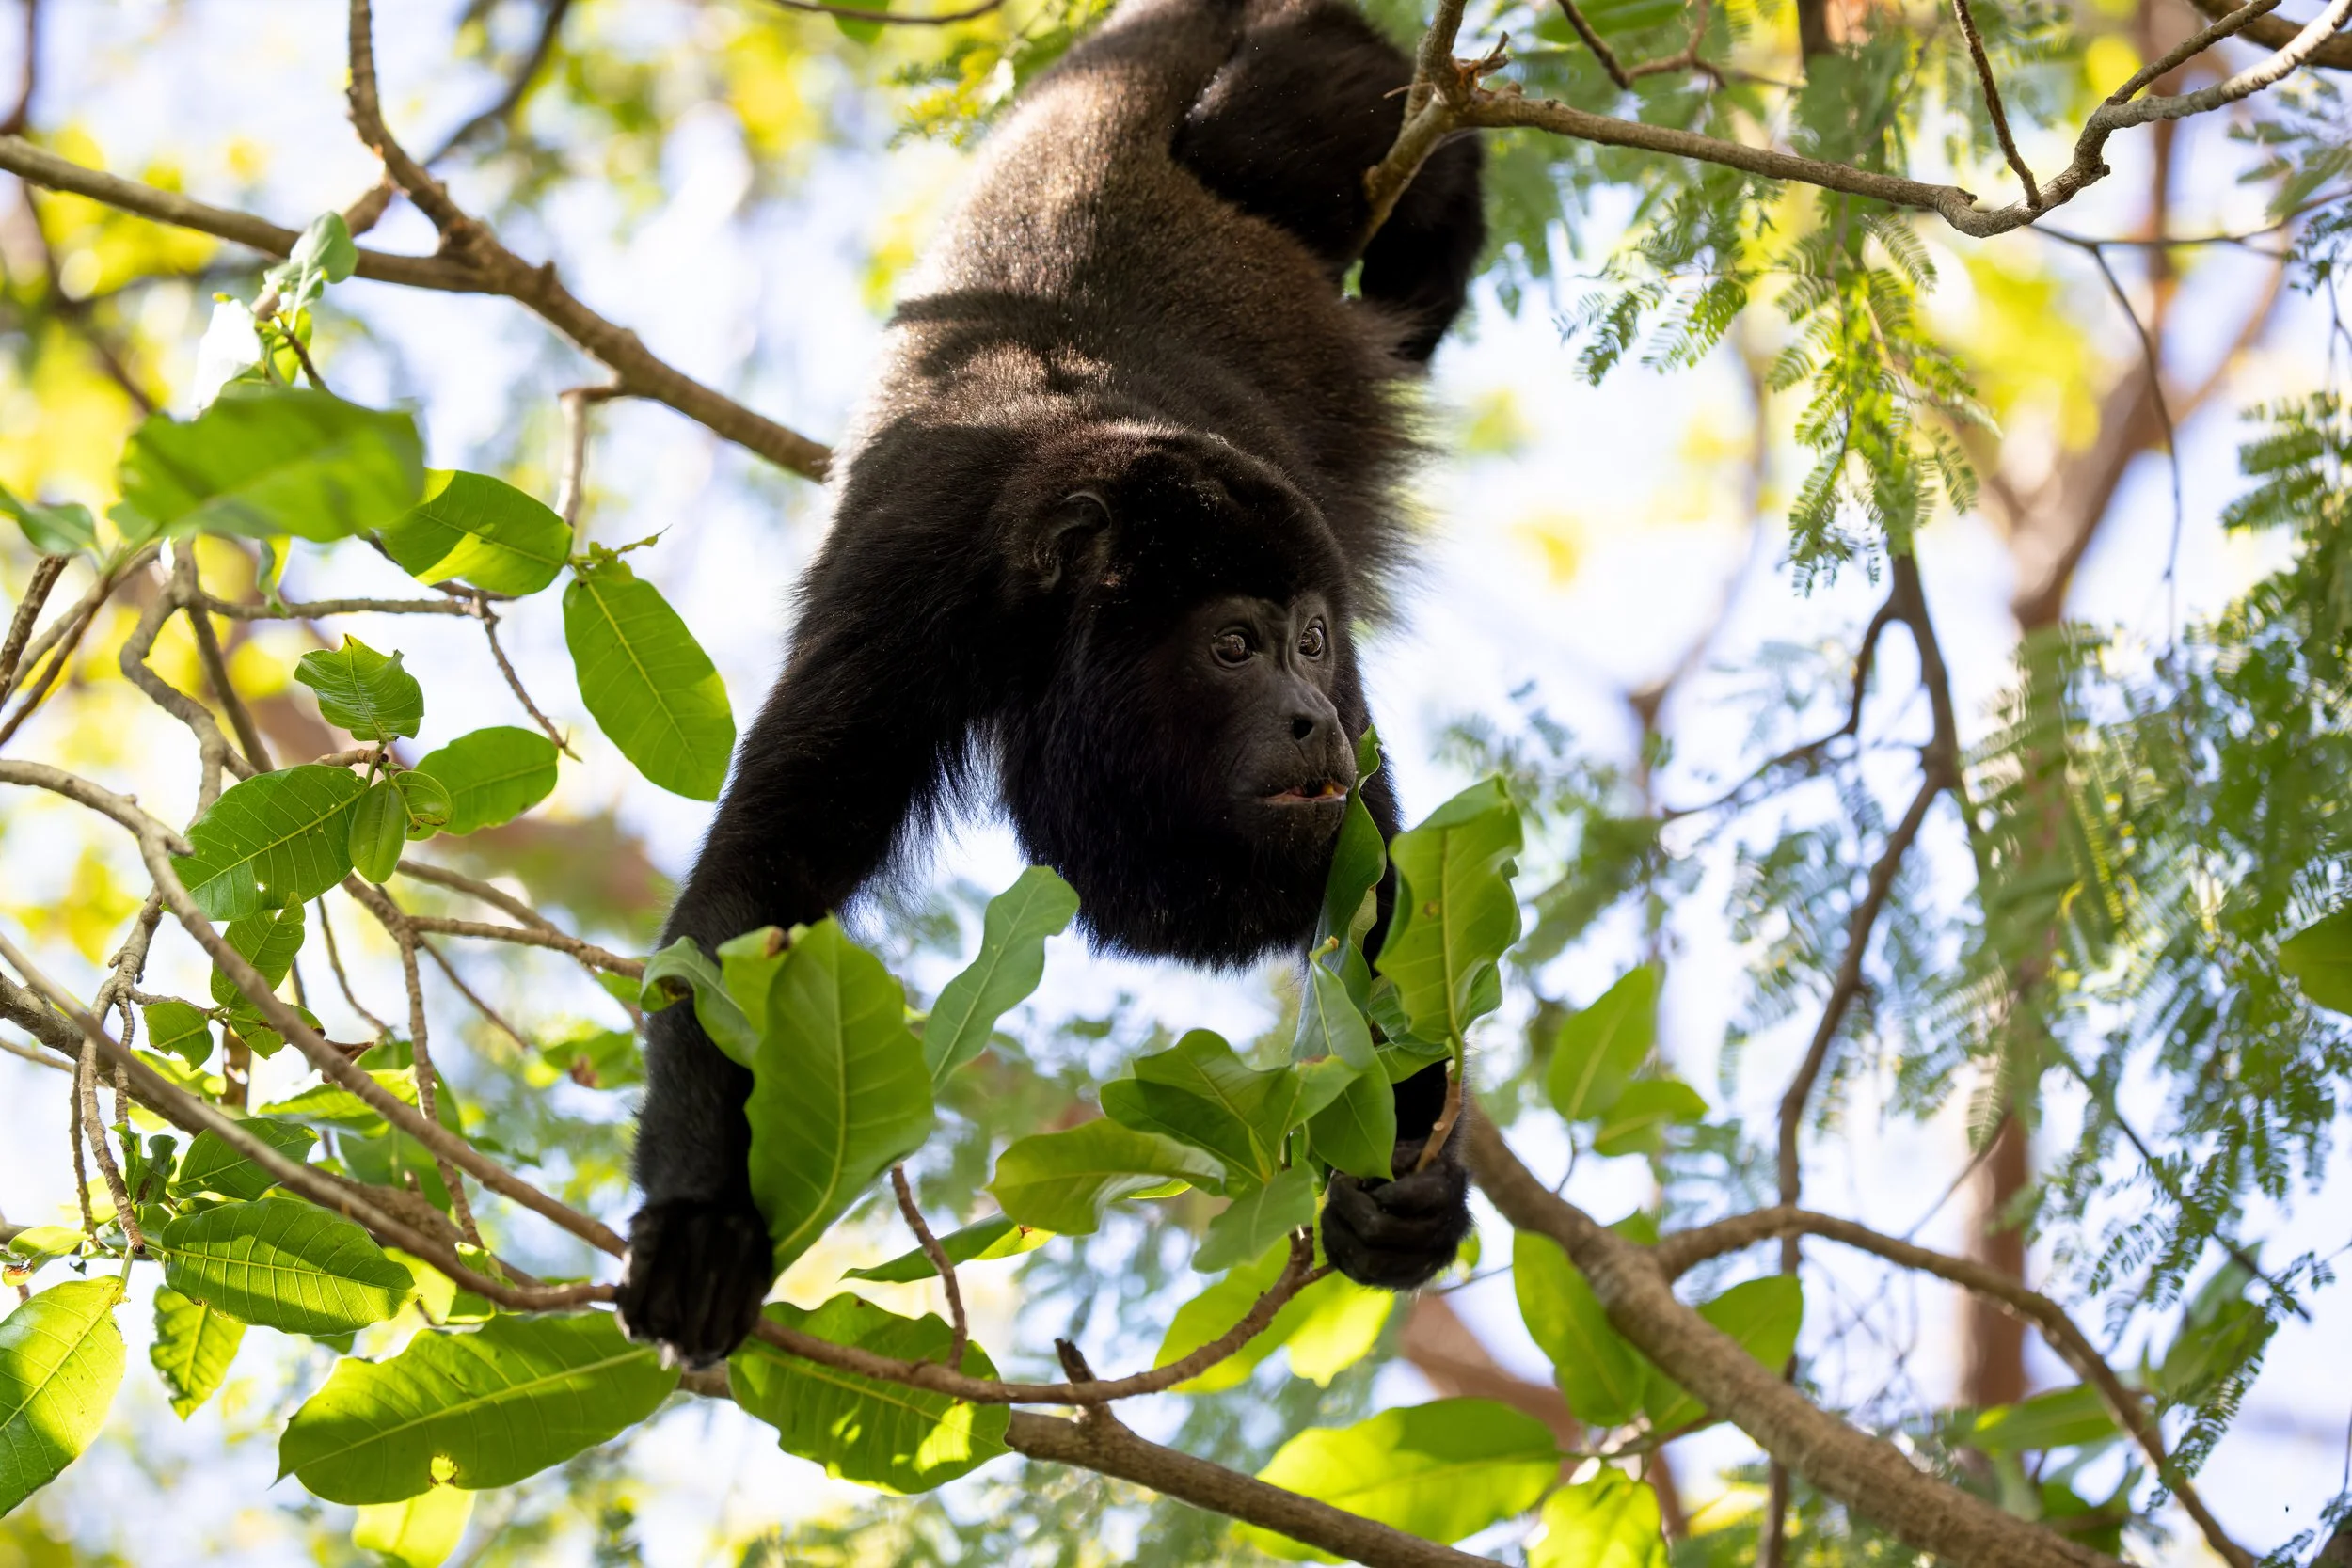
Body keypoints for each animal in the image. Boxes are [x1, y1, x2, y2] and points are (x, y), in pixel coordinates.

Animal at [615, 0, 1484, 1366]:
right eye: (1233, 645)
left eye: (1307, 640)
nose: (1309, 719)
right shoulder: (903, 596)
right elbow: (757, 892)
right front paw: (701, 1220)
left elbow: (1385, 885)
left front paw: (1403, 1193)